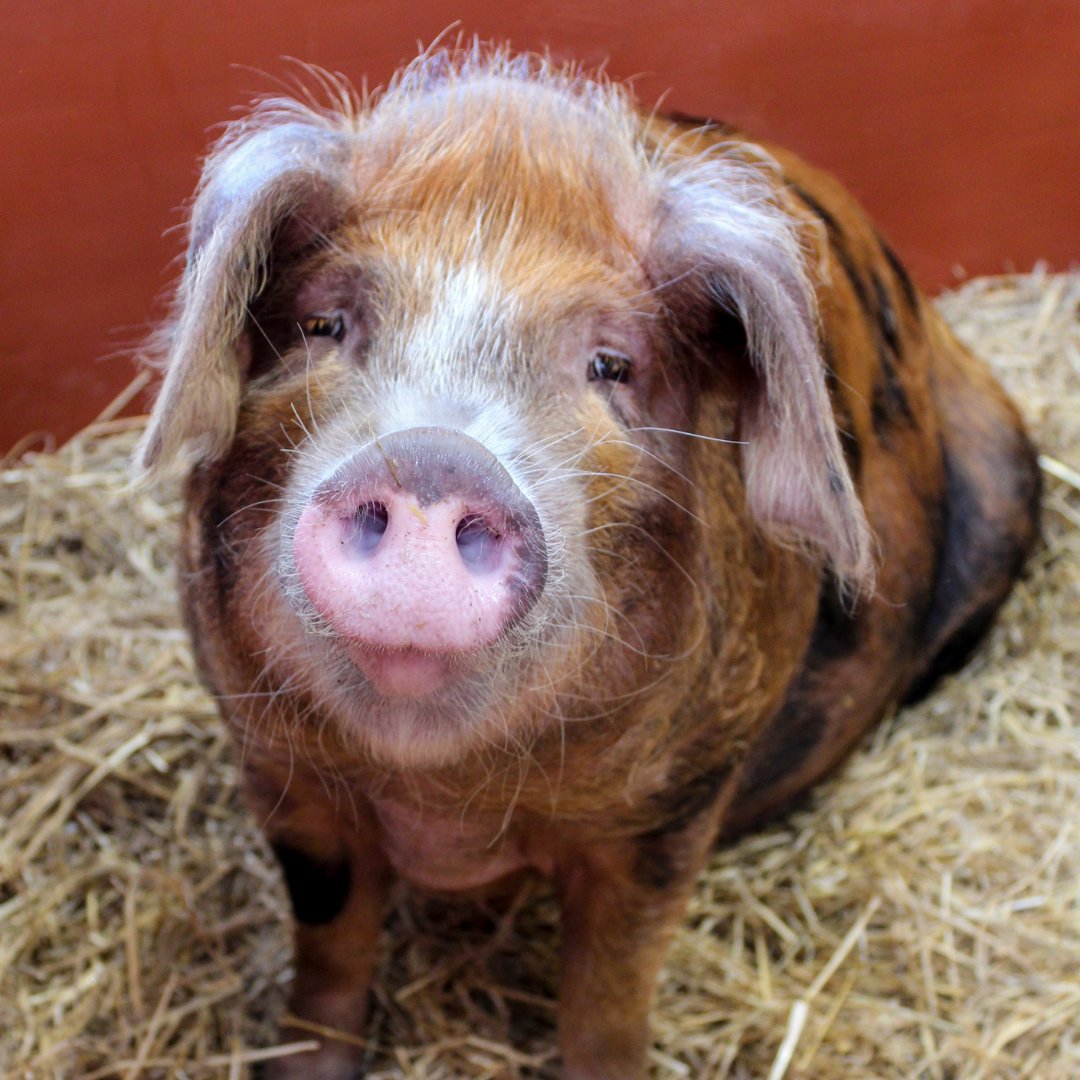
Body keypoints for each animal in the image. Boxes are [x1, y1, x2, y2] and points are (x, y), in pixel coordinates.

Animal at [135, 48, 1040, 1079]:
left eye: (612, 366)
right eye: (326, 324)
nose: (431, 459)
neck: (440, 803)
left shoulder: (669, 812)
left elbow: (609, 997)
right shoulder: (276, 766)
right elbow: (327, 947)